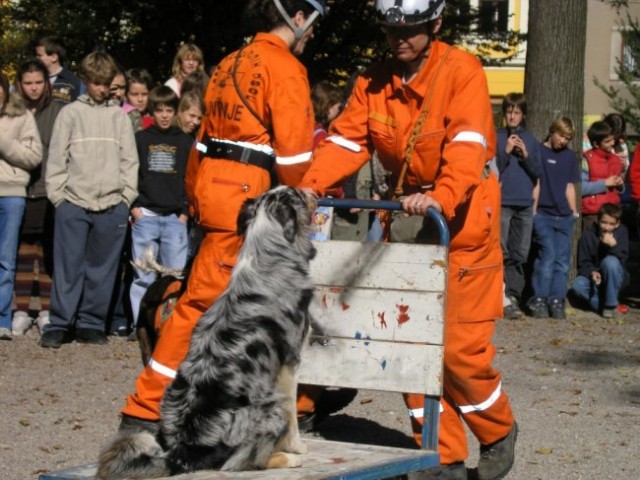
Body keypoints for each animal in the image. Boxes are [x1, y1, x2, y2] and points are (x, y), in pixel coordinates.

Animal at [97, 188, 318, 480]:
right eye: (297, 194)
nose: (315, 192)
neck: (268, 257)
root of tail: (182, 455)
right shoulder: (289, 364)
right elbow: (293, 414)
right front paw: (296, 447)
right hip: (269, 408)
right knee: (240, 462)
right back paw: (286, 458)